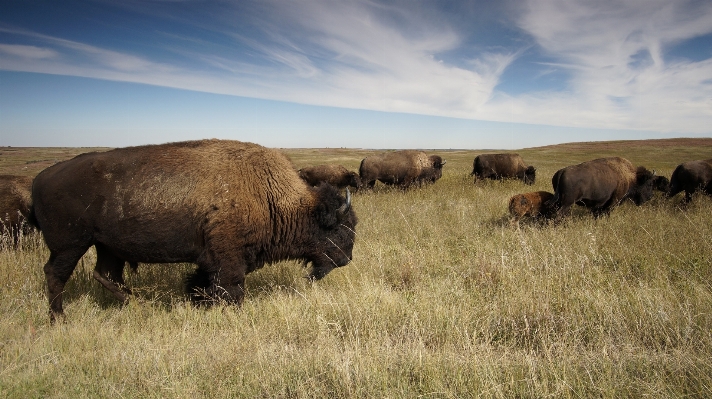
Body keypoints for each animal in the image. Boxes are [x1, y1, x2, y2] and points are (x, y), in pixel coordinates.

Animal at [31, 139, 358, 324]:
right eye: (341, 229)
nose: (347, 259)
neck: (270, 194)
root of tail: (41, 177)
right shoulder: (228, 258)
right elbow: (231, 287)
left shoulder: (209, 259)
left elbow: (203, 283)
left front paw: (197, 301)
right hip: (70, 245)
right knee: (56, 274)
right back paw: (59, 319)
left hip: (108, 246)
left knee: (106, 274)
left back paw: (137, 304)